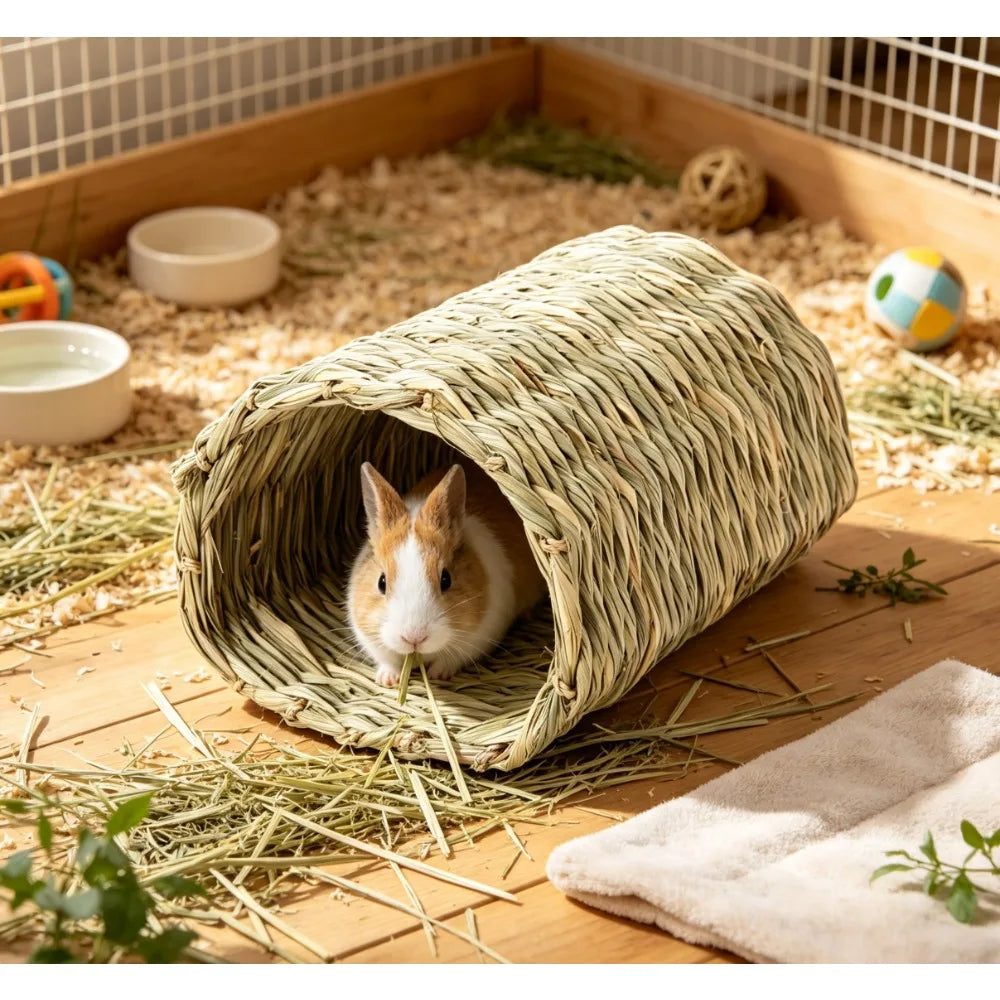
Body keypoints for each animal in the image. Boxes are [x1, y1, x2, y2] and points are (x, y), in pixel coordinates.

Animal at [347, 460, 546, 688]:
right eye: (381, 582)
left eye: (446, 580)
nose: (414, 638)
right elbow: (388, 660)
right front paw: (388, 680)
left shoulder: (479, 637)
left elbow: (451, 659)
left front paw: (438, 674)